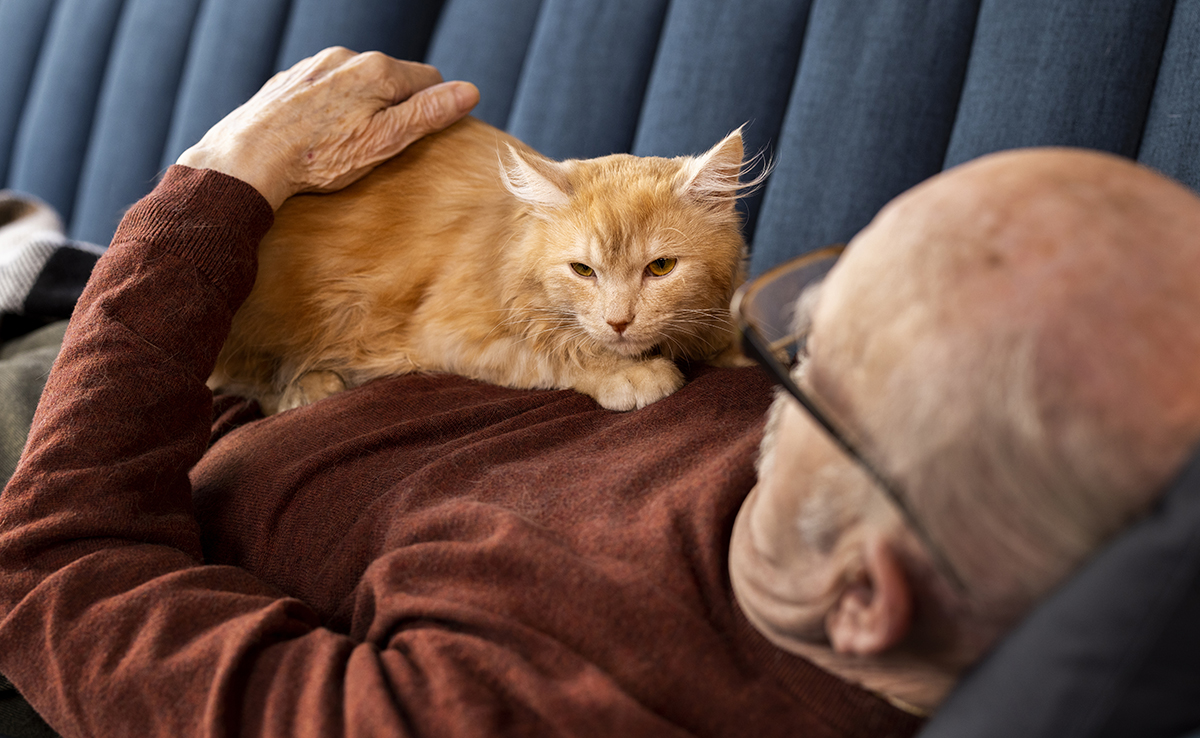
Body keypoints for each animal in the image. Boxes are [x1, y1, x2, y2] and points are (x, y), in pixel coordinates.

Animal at [211, 118, 753, 412]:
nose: (619, 322)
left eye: (660, 268)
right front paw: (630, 375)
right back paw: (311, 387)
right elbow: (556, 351)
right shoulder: (447, 331)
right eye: (583, 271)